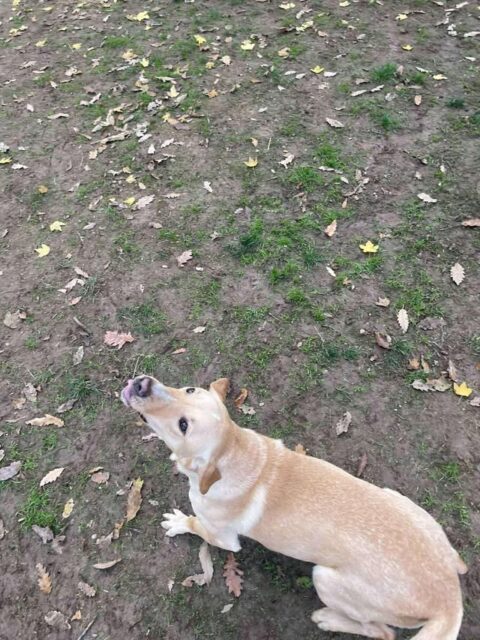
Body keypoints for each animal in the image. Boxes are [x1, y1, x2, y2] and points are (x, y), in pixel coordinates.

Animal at [121, 375, 467, 640]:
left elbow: (198, 525)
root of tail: (449, 600)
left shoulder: (224, 538)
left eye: (183, 426)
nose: (142, 384)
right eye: (190, 389)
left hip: (325, 579)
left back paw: (329, 619)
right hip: (399, 500)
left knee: (383, 632)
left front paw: (179, 522)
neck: (235, 451)